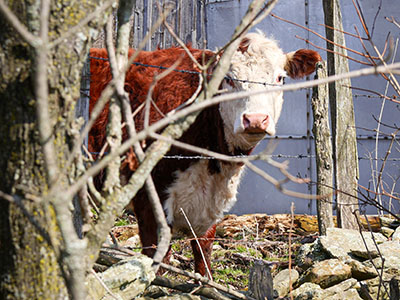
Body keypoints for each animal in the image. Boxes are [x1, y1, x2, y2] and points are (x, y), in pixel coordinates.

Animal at [89, 31, 320, 278]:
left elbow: (204, 255)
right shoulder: (147, 200)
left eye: (279, 78)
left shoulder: (210, 208)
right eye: (228, 79)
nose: (256, 119)